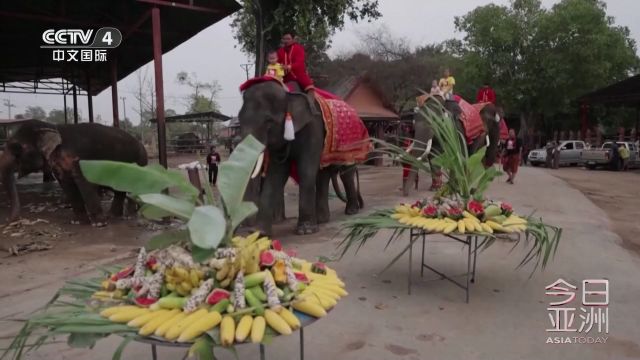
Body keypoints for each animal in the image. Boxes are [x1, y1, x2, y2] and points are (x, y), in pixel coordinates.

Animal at [0, 119, 148, 226]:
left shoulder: (81, 158)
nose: (7, 221)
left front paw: (99, 224)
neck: (53, 128)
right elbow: (67, 185)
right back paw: (117, 215)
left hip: (140, 161)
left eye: (17, 148)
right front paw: (79, 222)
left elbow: (85, 184)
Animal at [239, 81, 364, 236]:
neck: (288, 94)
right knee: (323, 174)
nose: (247, 228)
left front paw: (306, 230)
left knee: (345, 173)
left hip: (352, 144)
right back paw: (322, 219)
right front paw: (259, 233)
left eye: (269, 121)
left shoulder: (313, 127)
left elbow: (306, 169)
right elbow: (276, 174)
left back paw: (351, 211)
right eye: (239, 120)